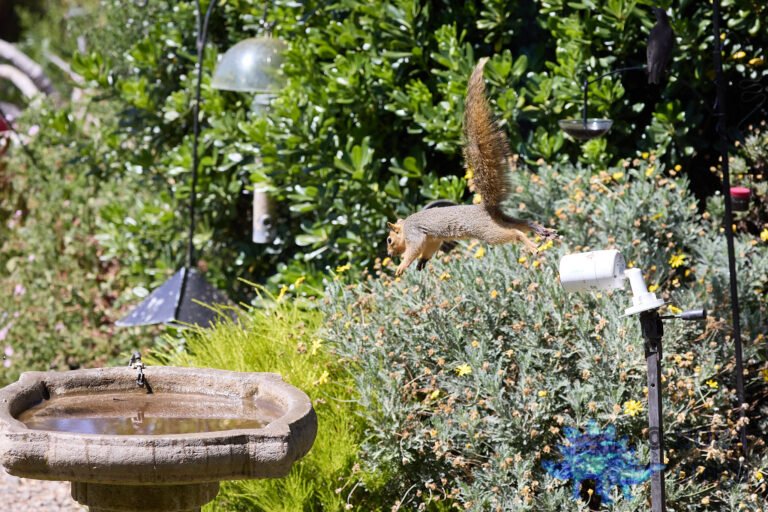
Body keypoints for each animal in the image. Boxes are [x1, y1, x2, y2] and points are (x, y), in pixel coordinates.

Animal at [386, 57, 557, 276]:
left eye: (390, 240)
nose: (389, 255)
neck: (406, 225)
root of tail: (486, 209)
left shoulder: (415, 234)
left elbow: (414, 248)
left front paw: (402, 265)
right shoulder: (432, 238)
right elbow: (429, 248)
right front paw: (422, 262)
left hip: (486, 230)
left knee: (514, 233)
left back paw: (529, 243)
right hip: (500, 220)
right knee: (522, 223)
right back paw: (543, 231)